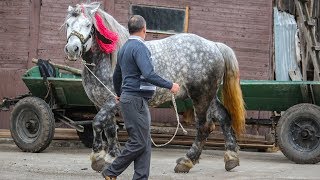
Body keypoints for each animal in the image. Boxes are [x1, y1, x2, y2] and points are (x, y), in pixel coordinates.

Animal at [63, 1, 246, 173]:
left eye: (88, 24)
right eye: (68, 24)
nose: (72, 49)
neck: (107, 60)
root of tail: (214, 45)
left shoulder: (113, 101)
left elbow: (97, 123)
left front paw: (97, 158)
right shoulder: (100, 103)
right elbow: (109, 129)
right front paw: (112, 156)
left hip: (201, 96)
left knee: (204, 126)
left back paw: (187, 161)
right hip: (209, 96)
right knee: (223, 117)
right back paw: (231, 157)